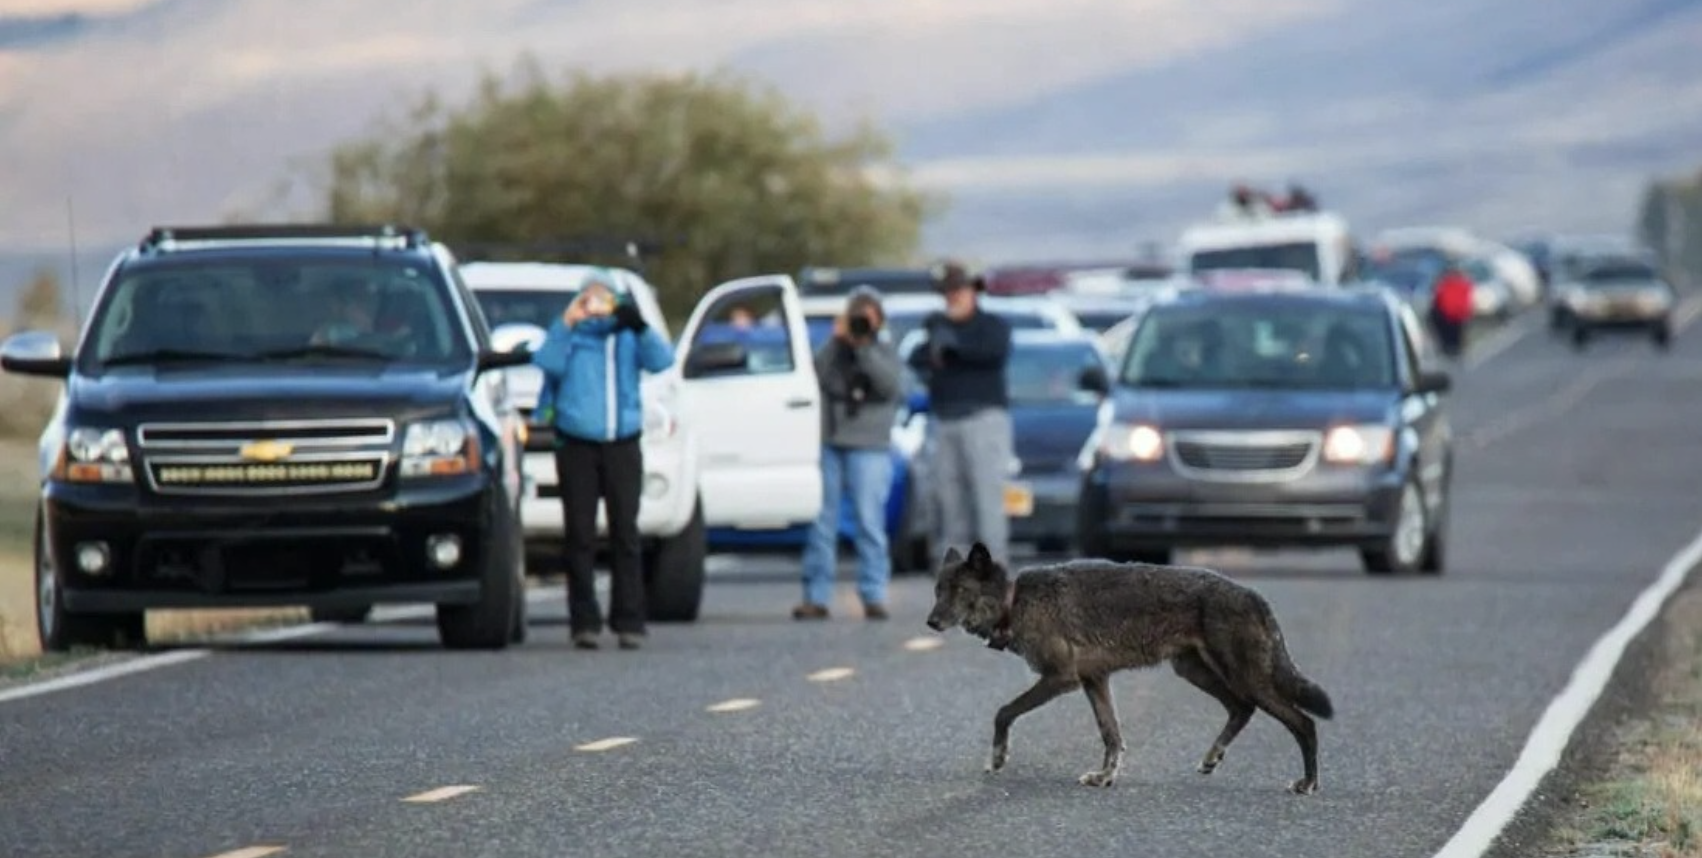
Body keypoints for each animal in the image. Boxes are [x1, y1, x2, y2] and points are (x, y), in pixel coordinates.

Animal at [923, 542, 1334, 793]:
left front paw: (998, 758)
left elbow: (1003, 712)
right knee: (1241, 708)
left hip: (1246, 679)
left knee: (1304, 723)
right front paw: (1105, 776)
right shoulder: (1094, 680)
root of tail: (1255, 595)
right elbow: (1111, 734)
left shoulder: (1061, 678)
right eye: (938, 591)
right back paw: (1212, 758)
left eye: (959, 592)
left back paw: (1307, 784)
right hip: (1195, 672)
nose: (931, 622)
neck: (1015, 600)